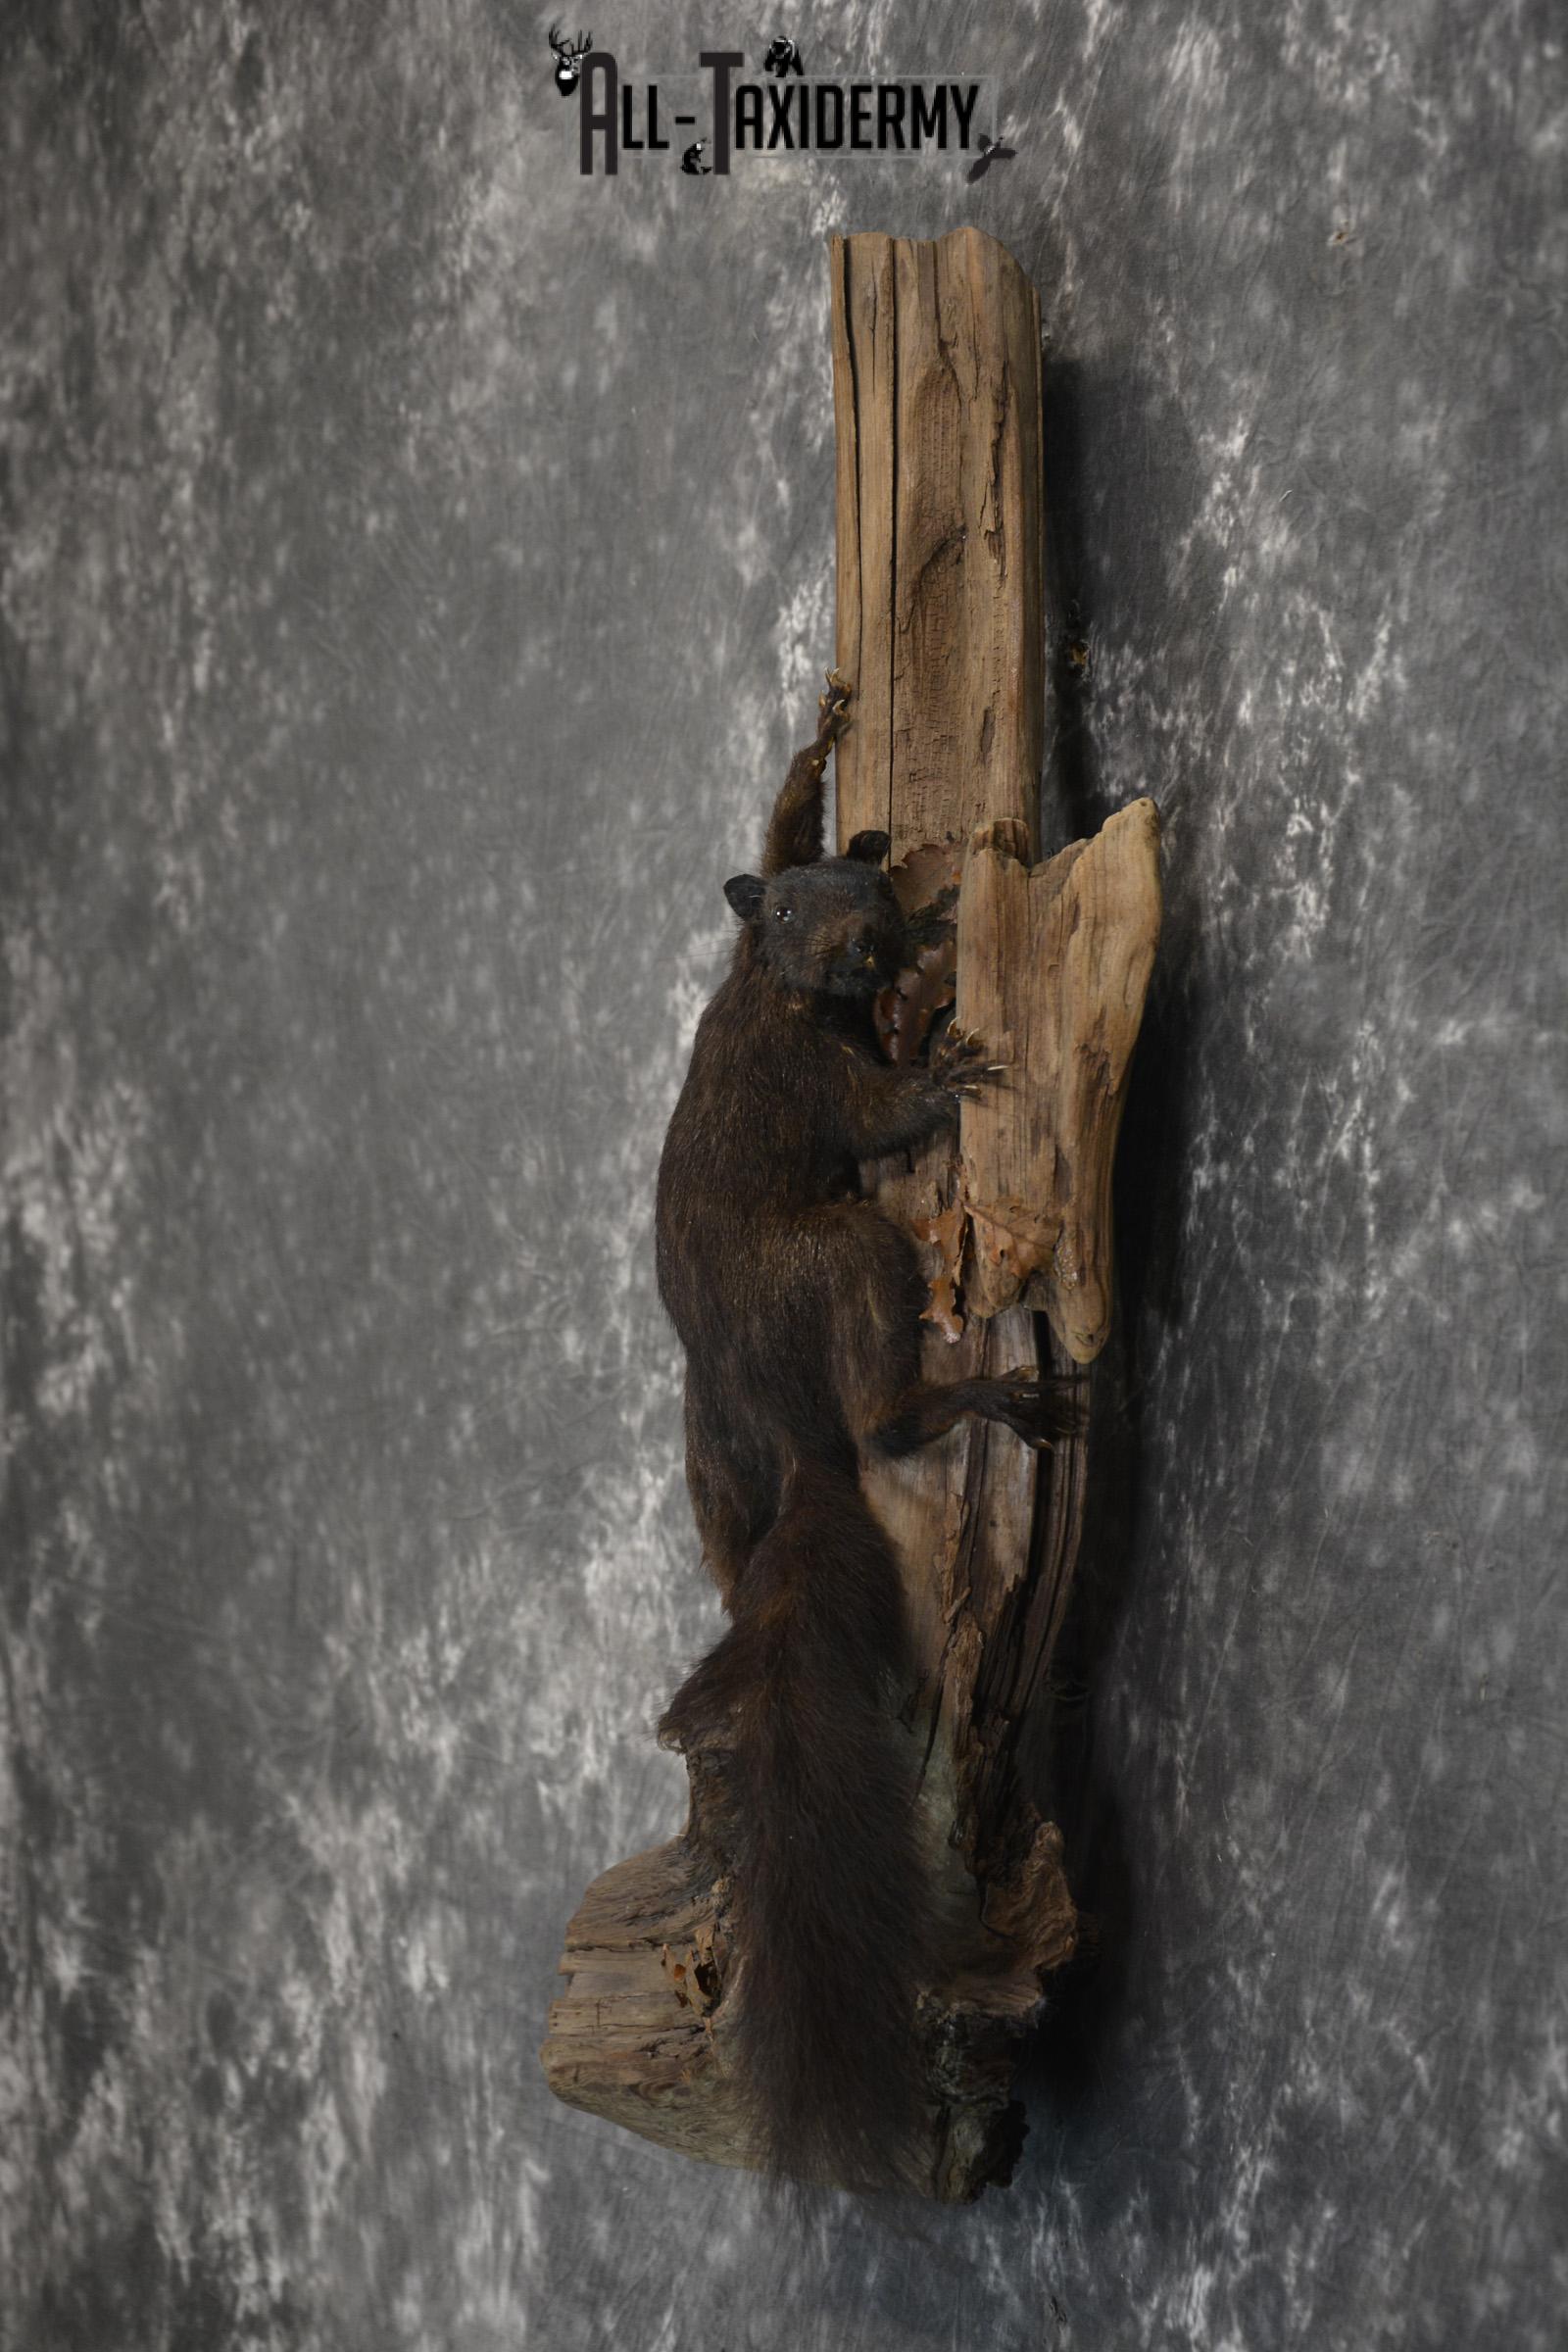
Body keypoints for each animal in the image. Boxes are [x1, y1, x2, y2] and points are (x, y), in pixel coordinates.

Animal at [655, 672, 1082, 2191]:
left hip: (709, 1456)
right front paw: (952, 1060)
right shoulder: (816, 1083)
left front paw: (826, 736)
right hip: (837, 1259)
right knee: (886, 1425)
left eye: (858, 885)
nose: (869, 943)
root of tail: (790, 1443)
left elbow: (766, 815)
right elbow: (885, 1109)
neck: (771, 991)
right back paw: (961, 1405)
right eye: (793, 919)